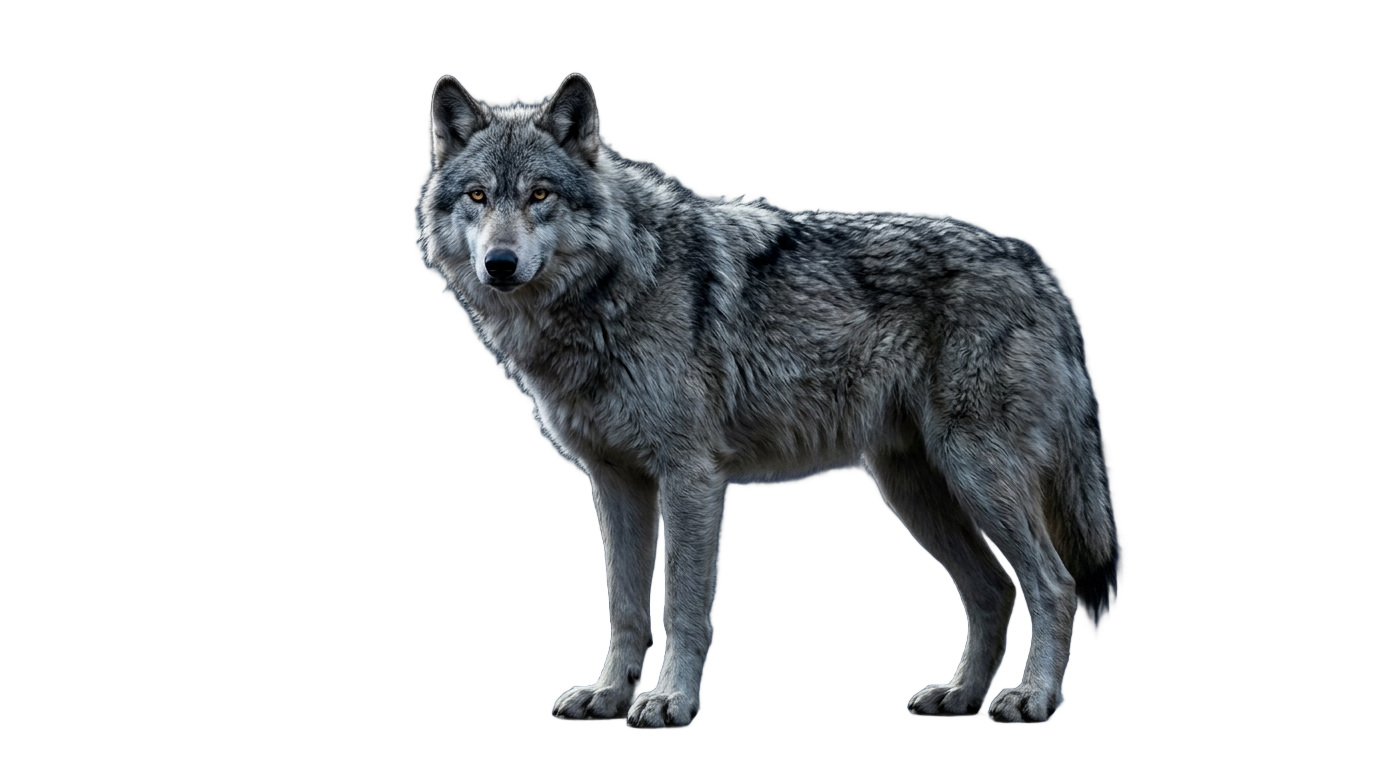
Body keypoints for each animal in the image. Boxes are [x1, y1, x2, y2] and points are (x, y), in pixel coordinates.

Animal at [417, 74, 1115, 726]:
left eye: (540, 194)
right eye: (478, 196)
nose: (499, 263)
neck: (615, 287)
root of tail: (1037, 274)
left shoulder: (690, 474)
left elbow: (682, 605)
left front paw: (669, 701)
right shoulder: (615, 480)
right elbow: (625, 605)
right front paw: (609, 694)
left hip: (975, 476)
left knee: (1052, 584)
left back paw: (1030, 697)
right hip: (916, 487)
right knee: (992, 589)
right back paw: (960, 694)